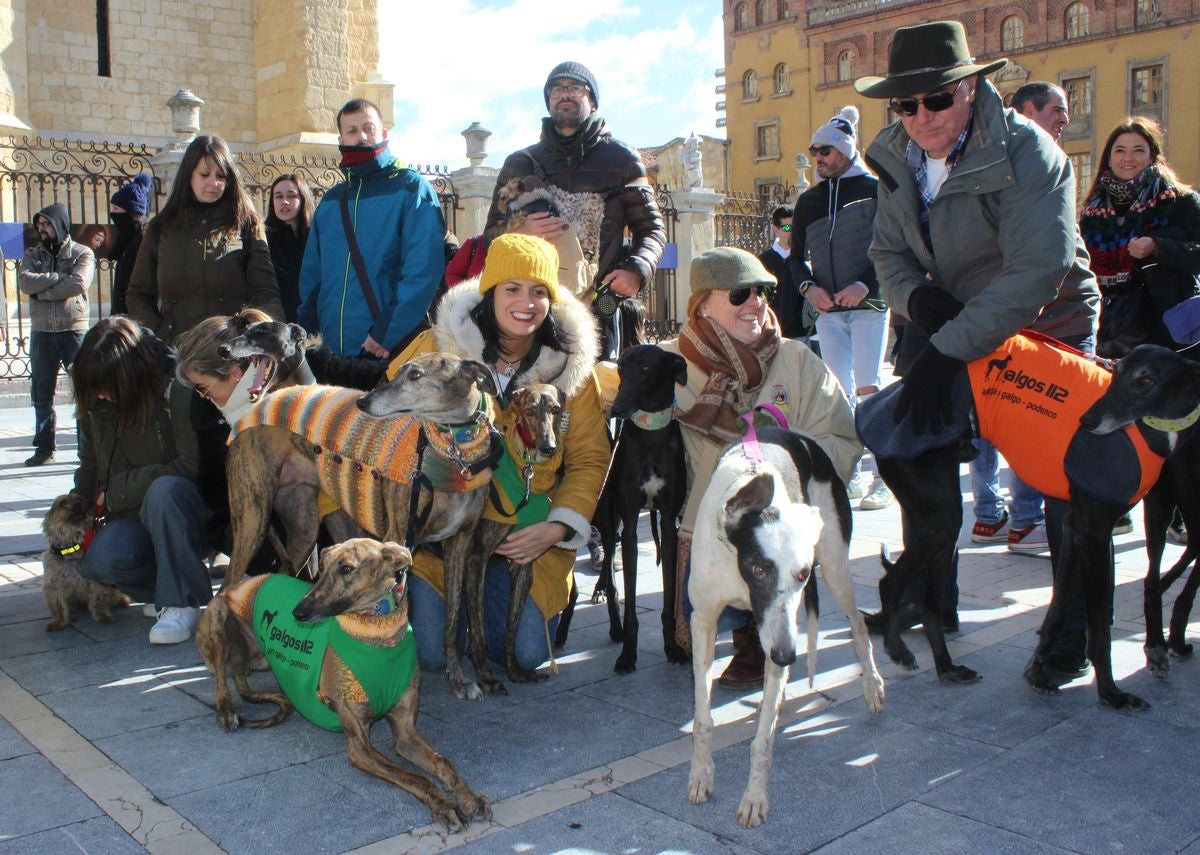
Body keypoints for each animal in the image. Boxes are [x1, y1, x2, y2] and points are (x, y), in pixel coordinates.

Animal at [41, 489, 129, 629]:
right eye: (63, 503)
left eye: (80, 499)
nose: (79, 504)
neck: (71, 547)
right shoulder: (52, 585)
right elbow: (58, 605)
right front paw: (58, 621)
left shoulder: (95, 581)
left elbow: (98, 599)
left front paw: (102, 615)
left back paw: (121, 600)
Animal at [194, 537, 489, 830]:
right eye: (322, 567)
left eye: (346, 568)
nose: (298, 612)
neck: (377, 634)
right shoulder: (359, 746)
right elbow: (414, 777)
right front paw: (444, 805)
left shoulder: (406, 733)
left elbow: (443, 762)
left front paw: (470, 798)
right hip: (218, 617)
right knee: (220, 677)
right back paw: (226, 711)